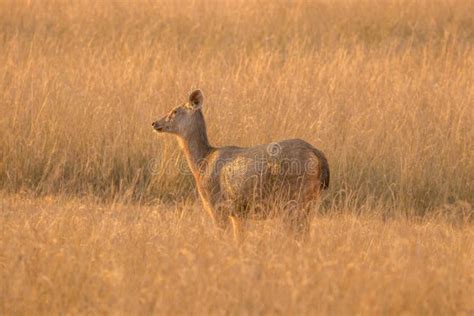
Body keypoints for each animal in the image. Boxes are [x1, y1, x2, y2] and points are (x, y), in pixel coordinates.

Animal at [153, 90, 330, 238]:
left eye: (175, 111)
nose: (155, 123)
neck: (202, 163)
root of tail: (317, 154)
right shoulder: (238, 213)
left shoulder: (217, 205)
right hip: (310, 201)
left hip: (293, 199)